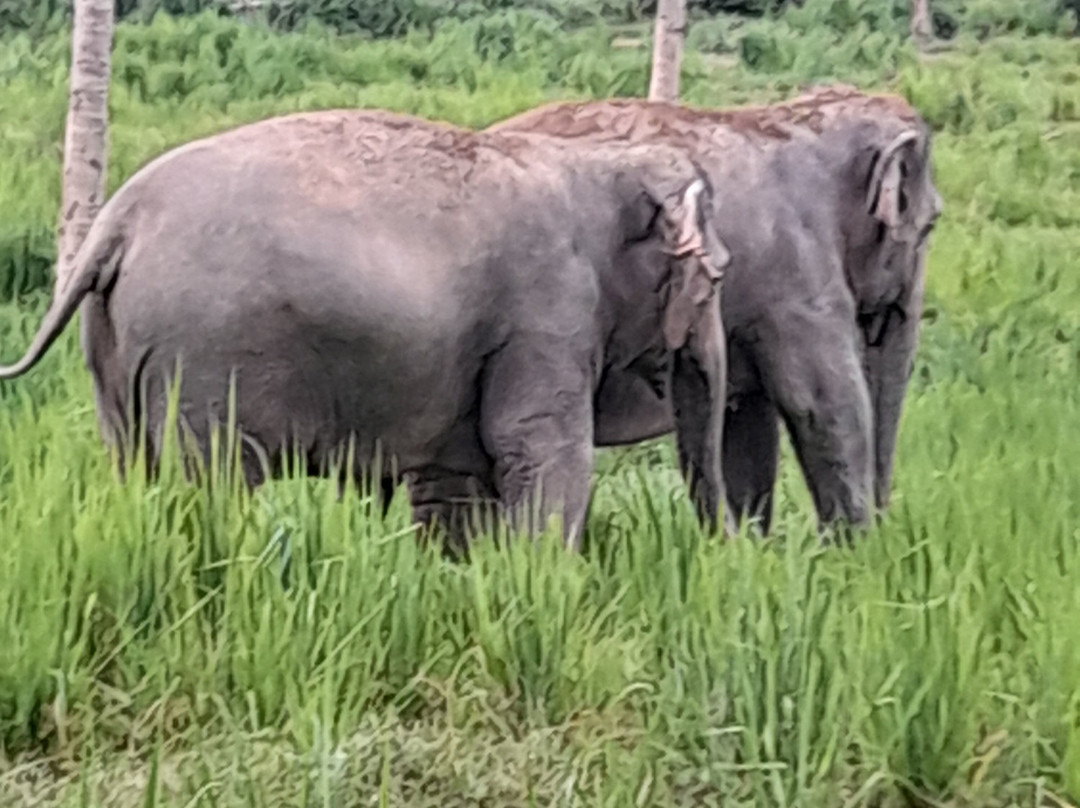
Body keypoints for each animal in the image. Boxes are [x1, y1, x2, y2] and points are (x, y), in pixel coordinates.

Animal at [0, 109, 731, 552]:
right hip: (201, 356)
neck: (599, 162)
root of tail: (118, 219)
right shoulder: (548, 315)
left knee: (132, 467)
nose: (728, 546)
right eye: (717, 276)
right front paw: (547, 578)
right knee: (211, 486)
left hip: (112, 347)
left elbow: (455, 479)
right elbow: (543, 452)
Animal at [490, 84, 943, 534]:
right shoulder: (797, 282)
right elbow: (824, 403)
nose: (887, 520)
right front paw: (858, 549)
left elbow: (749, 430)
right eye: (931, 225)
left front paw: (754, 546)